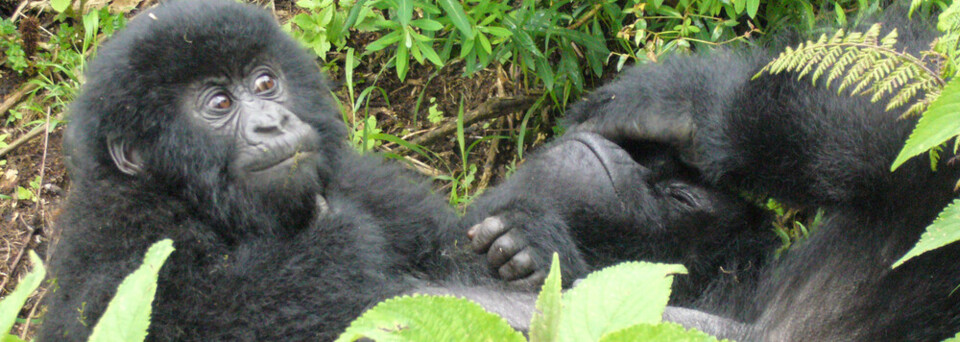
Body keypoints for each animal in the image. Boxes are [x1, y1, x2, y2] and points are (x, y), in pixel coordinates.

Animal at [39, 1, 532, 340]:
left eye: (265, 82)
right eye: (220, 103)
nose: (272, 122)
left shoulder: (363, 181)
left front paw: (517, 241)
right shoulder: (118, 243)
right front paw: (335, 239)